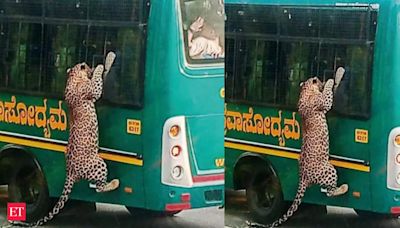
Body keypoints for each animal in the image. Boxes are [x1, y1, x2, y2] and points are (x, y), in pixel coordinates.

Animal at [15, 52, 119, 228]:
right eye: (87, 66)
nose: (90, 66)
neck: (72, 77)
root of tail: (70, 172)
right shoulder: (93, 90)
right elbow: (98, 81)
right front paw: (101, 64)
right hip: (98, 163)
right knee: (99, 188)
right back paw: (115, 183)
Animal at [247, 67, 350, 227]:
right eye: (319, 80)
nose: (321, 80)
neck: (305, 91)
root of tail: (302, 177)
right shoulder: (323, 102)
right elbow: (328, 95)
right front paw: (331, 80)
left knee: (326, 191)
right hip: (328, 169)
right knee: (330, 192)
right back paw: (344, 188)